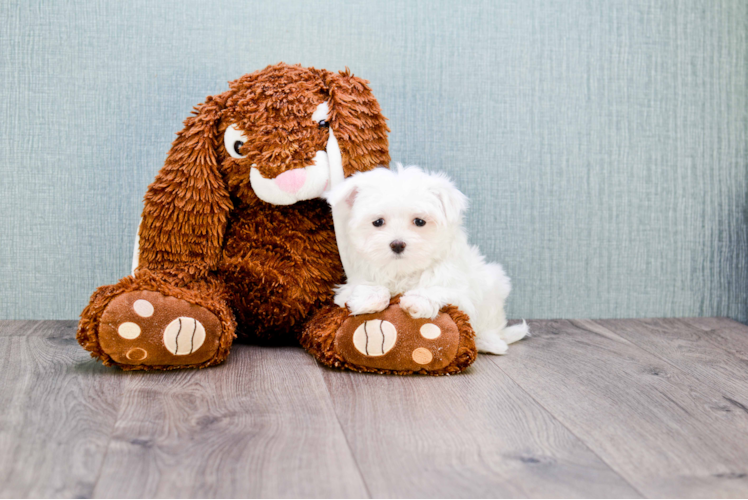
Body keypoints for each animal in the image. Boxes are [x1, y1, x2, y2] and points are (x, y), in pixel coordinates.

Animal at [324, 165, 528, 356]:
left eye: (419, 222)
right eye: (378, 222)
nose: (397, 244)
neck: (403, 270)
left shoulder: (462, 294)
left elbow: (441, 290)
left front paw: (417, 300)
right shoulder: (351, 284)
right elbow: (361, 288)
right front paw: (370, 297)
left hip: (494, 284)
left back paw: (490, 343)